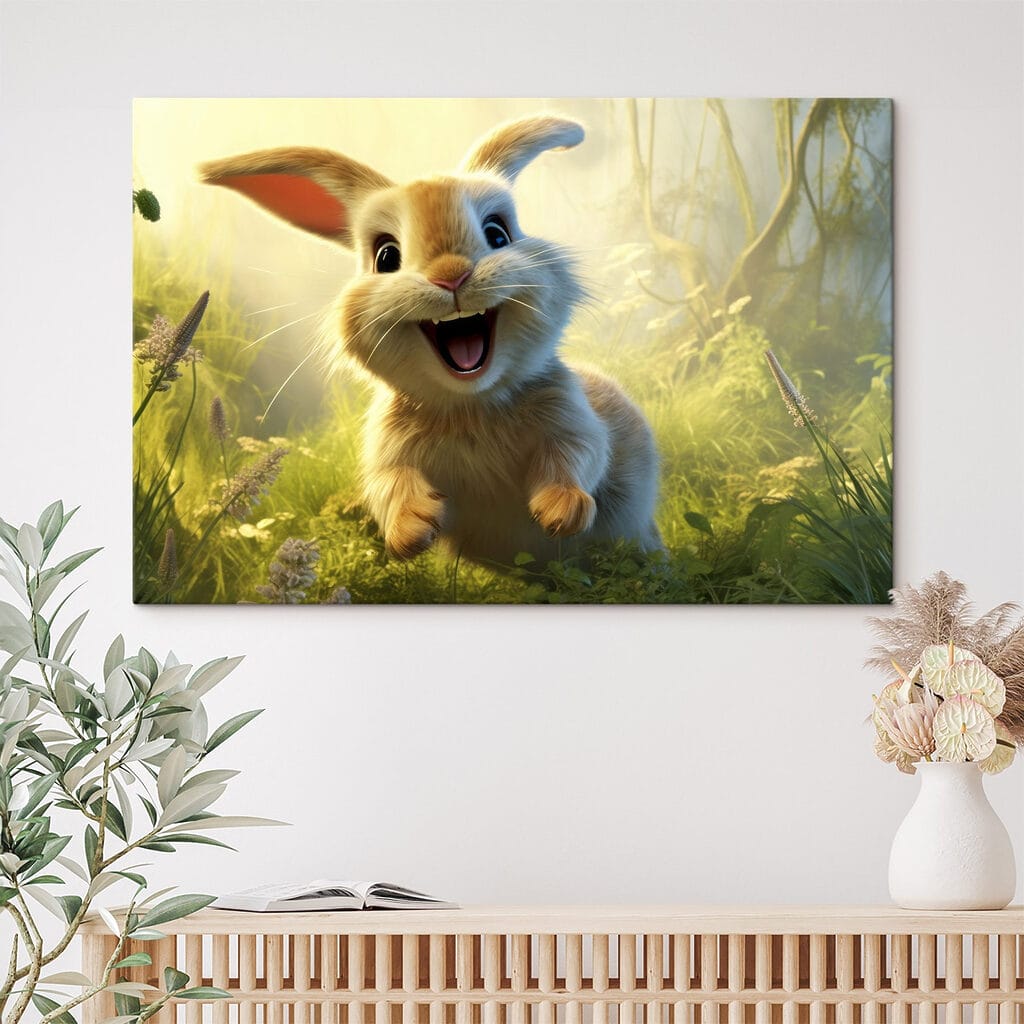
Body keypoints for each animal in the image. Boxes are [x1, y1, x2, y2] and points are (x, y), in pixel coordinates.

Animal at [201, 115, 662, 567]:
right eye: (386, 257)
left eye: (498, 235)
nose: (451, 275)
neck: (471, 405)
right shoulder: (389, 450)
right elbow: (391, 485)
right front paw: (412, 532)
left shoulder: (572, 419)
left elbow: (577, 455)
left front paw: (561, 512)